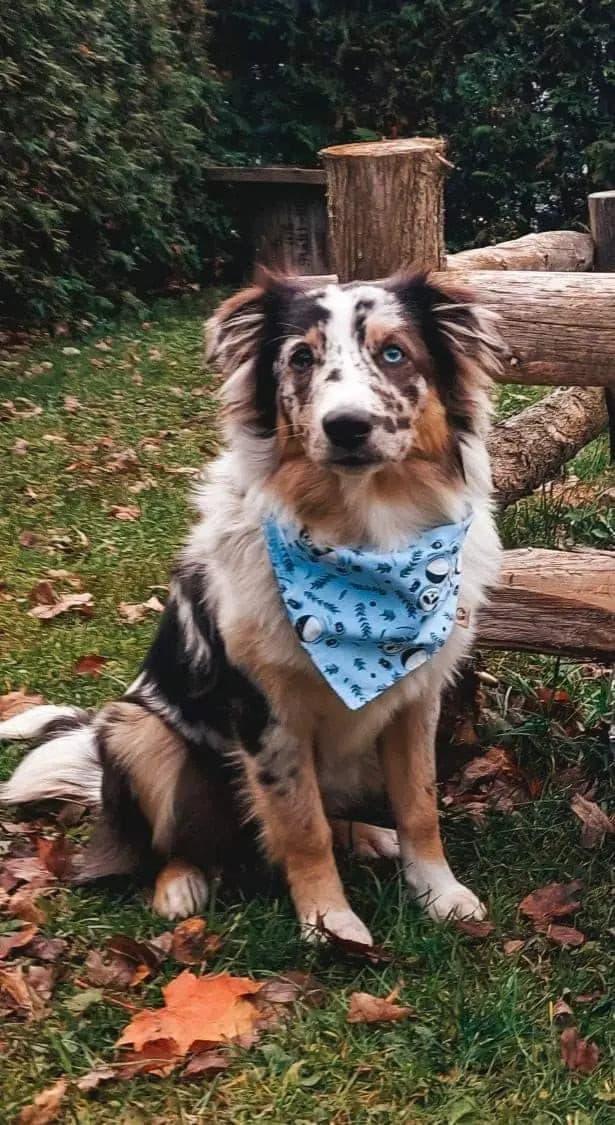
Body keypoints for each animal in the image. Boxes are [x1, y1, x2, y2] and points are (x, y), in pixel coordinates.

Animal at [0, 272, 505, 949]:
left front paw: (438, 892)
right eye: (301, 359)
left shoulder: (415, 698)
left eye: (394, 353)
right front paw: (330, 922)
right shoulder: (266, 713)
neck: (366, 535)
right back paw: (181, 884)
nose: (347, 426)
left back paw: (373, 837)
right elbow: (301, 827)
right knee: (182, 842)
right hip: (139, 731)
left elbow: (420, 804)